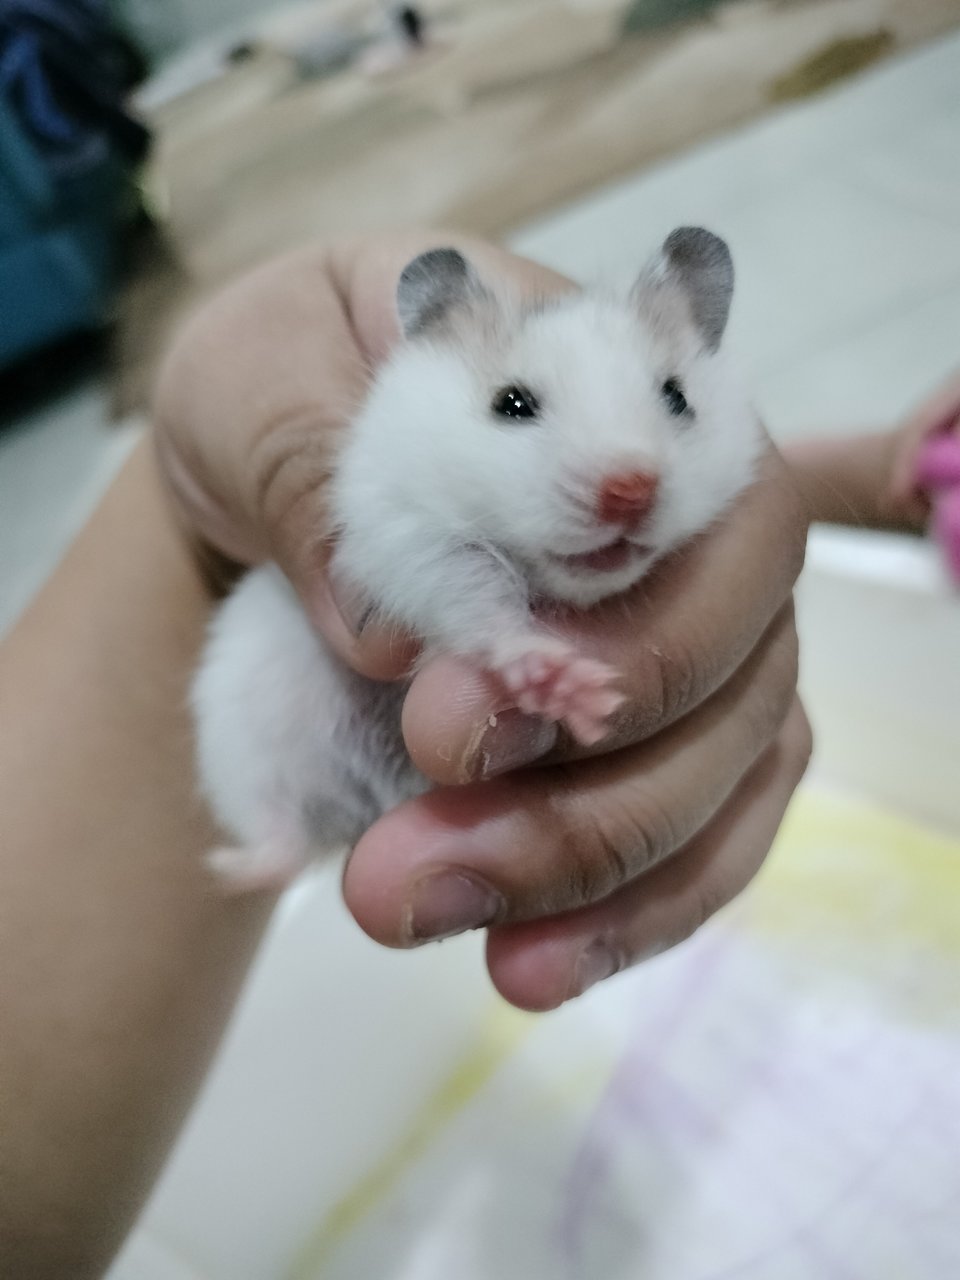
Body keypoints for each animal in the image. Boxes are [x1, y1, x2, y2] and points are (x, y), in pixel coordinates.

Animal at [192, 230, 762, 890]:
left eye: (677, 397)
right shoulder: (410, 541)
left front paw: (592, 707)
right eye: (511, 403)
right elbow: (478, 602)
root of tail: (374, 803)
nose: (630, 490)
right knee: (279, 835)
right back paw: (226, 870)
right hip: (246, 740)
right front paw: (570, 689)